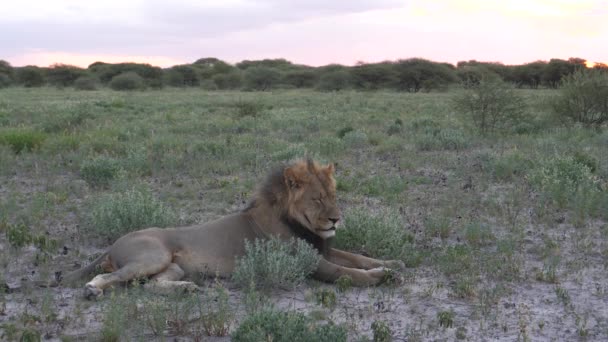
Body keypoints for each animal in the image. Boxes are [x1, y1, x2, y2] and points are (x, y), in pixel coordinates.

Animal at [57, 159, 404, 298]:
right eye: (317, 199)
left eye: (334, 195)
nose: (336, 219)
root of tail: (112, 243)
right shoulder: (313, 262)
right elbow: (350, 272)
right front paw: (384, 276)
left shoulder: (324, 248)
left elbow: (358, 257)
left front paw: (393, 263)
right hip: (151, 256)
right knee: (112, 277)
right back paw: (92, 290)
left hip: (173, 267)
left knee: (149, 286)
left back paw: (187, 289)